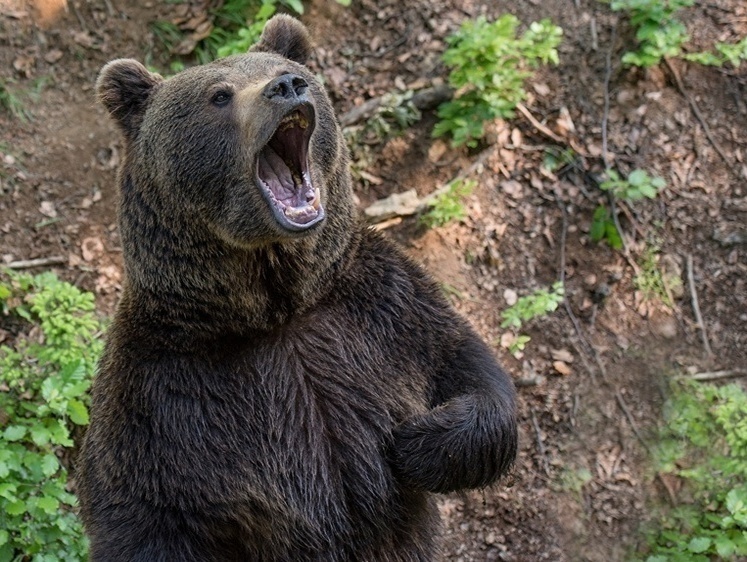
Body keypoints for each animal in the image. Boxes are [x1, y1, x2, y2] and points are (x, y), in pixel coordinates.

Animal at [79, 14, 516, 560]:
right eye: (219, 95)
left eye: (288, 70)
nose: (287, 86)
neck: (277, 308)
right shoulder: (161, 398)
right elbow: (142, 517)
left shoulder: (381, 309)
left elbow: (471, 370)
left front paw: (415, 441)